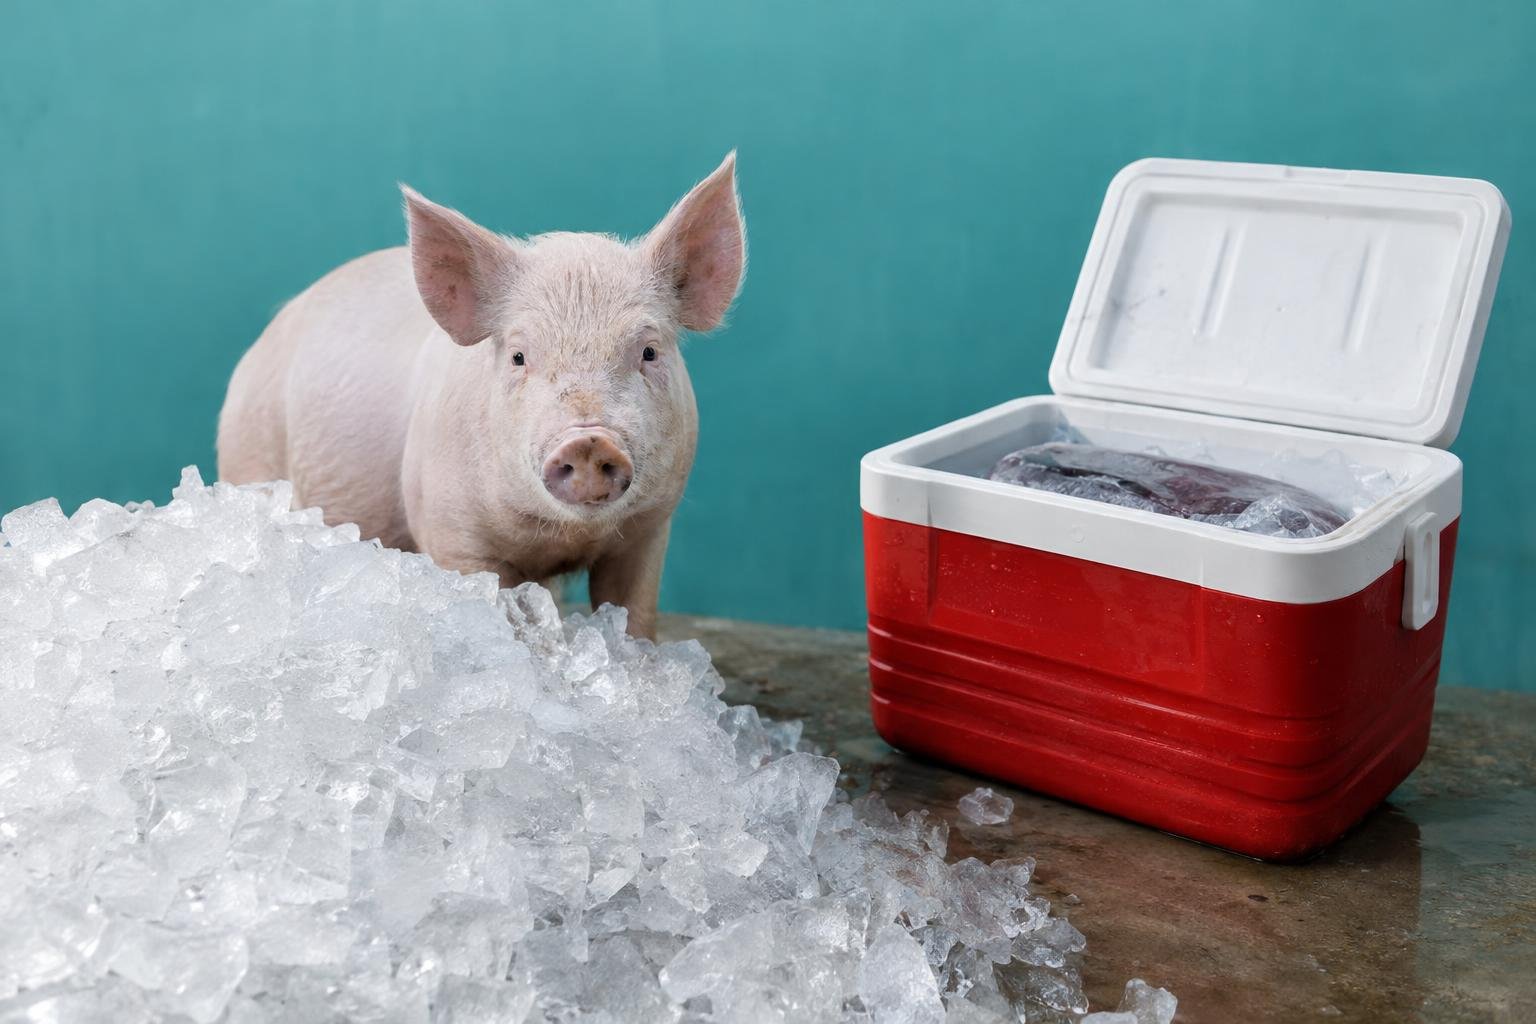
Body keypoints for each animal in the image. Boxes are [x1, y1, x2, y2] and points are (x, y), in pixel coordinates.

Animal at [217, 154, 746, 639]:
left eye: (650, 351)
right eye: (518, 356)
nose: (588, 440)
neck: (562, 536)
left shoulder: (650, 528)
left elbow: (633, 613)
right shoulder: (452, 531)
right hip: (251, 453)